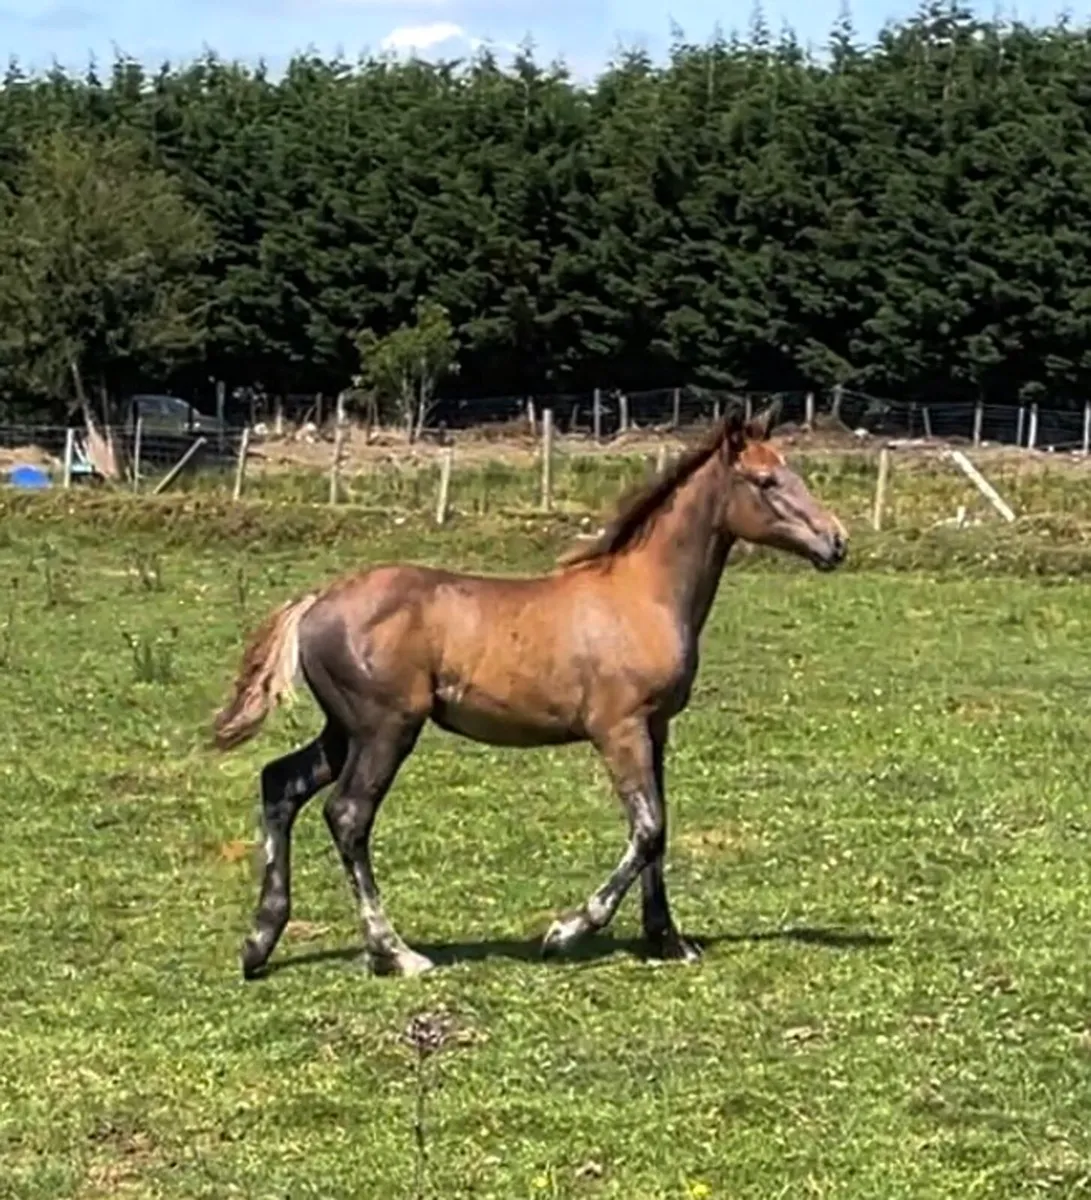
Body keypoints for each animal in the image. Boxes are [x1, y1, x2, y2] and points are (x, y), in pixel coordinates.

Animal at [212, 402, 848, 979]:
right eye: (765, 480)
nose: (836, 541)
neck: (641, 595)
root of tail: (315, 602)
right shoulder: (618, 729)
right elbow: (647, 829)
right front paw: (566, 931)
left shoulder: (656, 730)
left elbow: (661, 830)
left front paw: (668, 940)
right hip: (385, 729)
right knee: (347, 815)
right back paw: (396, 953)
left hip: (344, 729)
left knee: (280, 784)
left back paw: (259, 941)